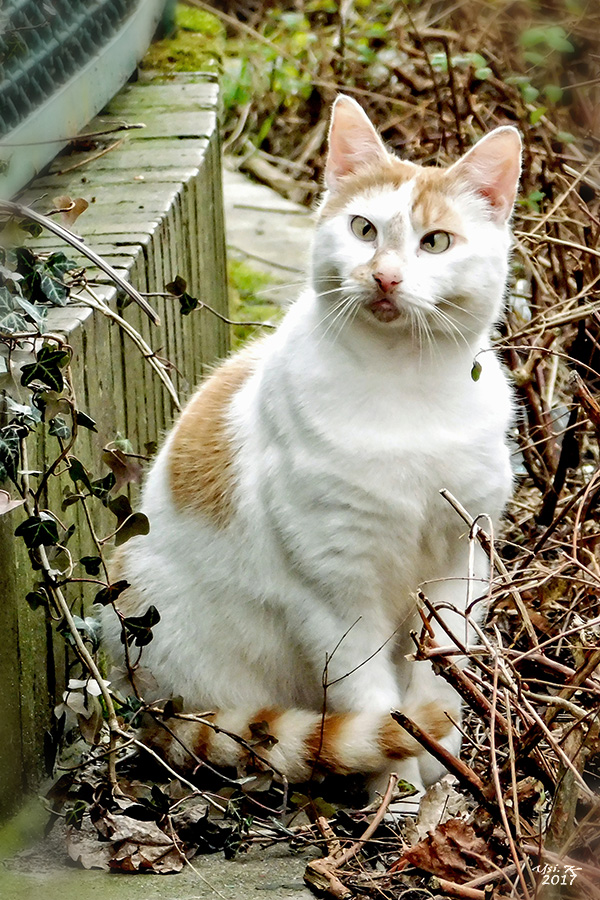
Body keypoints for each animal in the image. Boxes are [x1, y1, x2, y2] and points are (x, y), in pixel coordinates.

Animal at [105, 98, 524, 800]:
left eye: (435, 241)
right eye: (362, 228)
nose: (384, 275)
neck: (406, 387)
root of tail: (134, 696)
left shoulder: (460, 565)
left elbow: (442, 683)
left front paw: (446, 784)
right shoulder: (334, 590)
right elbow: (376, 703)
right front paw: (399, 796)